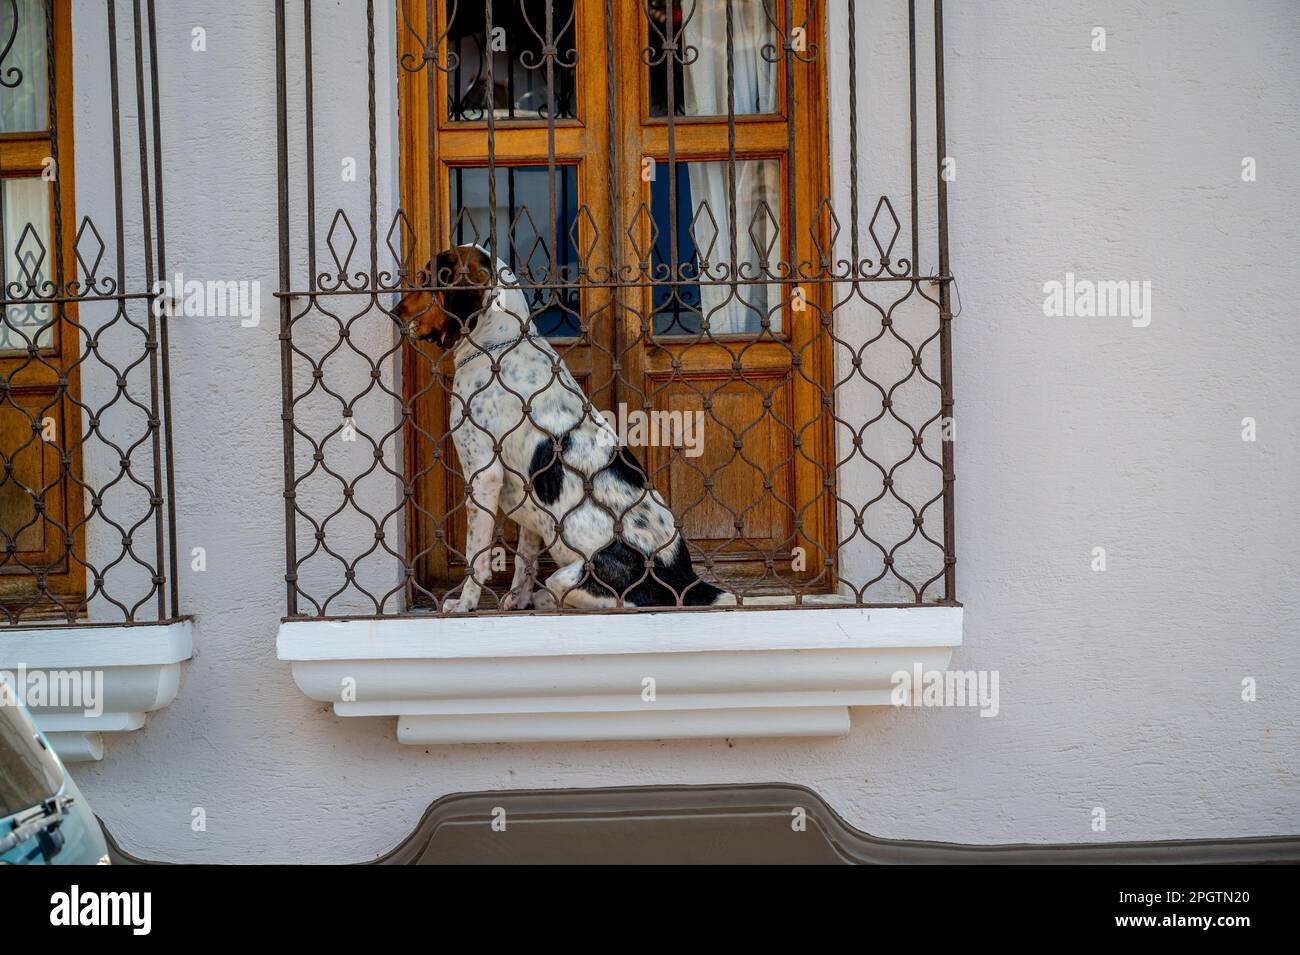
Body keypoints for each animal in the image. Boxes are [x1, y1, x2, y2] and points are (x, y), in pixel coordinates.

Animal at [390, 246, 738, 613]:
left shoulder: (483, 476)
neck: (499, 344)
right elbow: (524, 561)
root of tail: (686, 579)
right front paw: (516, 600)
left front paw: (464, 604)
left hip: (575, 576)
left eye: (427, 279)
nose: (393, 313)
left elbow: (476, 557)